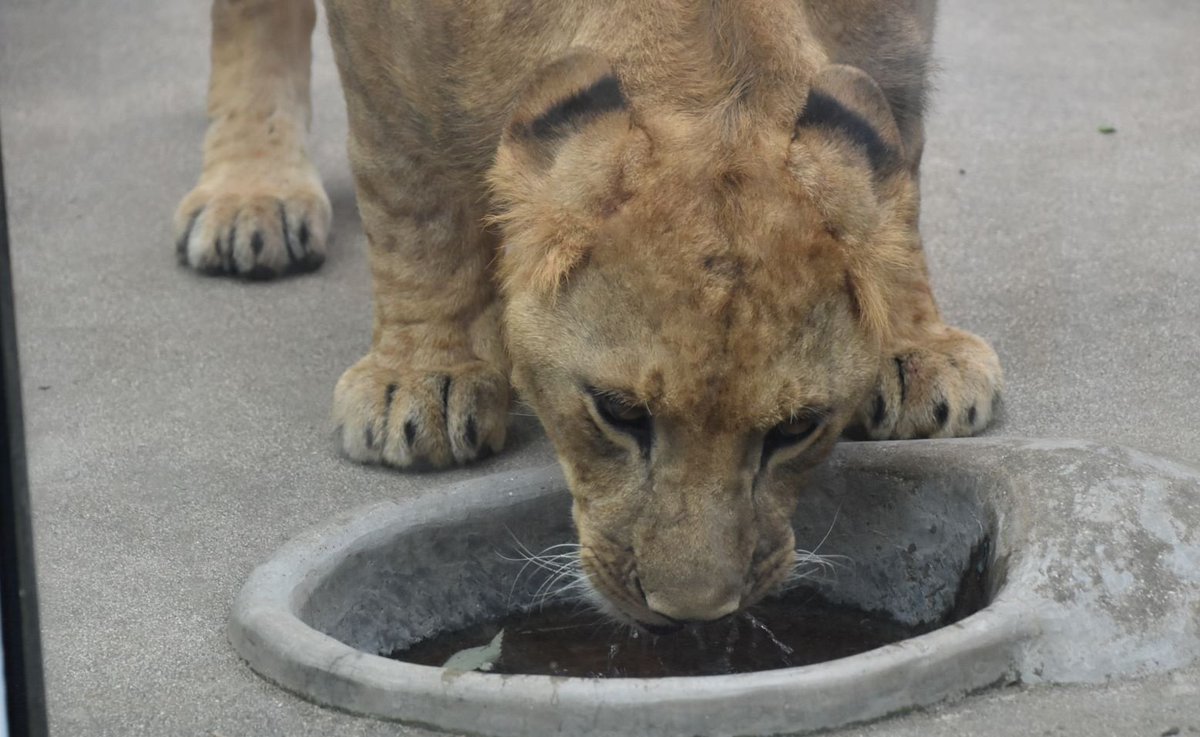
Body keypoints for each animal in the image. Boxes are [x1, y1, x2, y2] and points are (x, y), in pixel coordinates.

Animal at [175, 1, 1003, 628]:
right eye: (618, 412)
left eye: (797, 428)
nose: (688, 615)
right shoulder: (388, 40)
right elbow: (409, 182)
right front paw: (420, 377)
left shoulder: (892, 31)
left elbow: (899, 158)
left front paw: (916, 344)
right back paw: (252, 194)